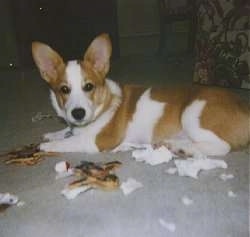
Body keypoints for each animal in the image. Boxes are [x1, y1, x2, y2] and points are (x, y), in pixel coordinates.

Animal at [31, 32, 250, 156]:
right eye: (64, 90)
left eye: (89, 87)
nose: (78, 114)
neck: (104, 104)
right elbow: (66, 132)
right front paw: (52, 134)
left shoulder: (97, 141)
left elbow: (68, 142)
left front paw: (48, 145)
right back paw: (177, 145)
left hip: (192, 113)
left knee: (222, 147)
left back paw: (186, 149)